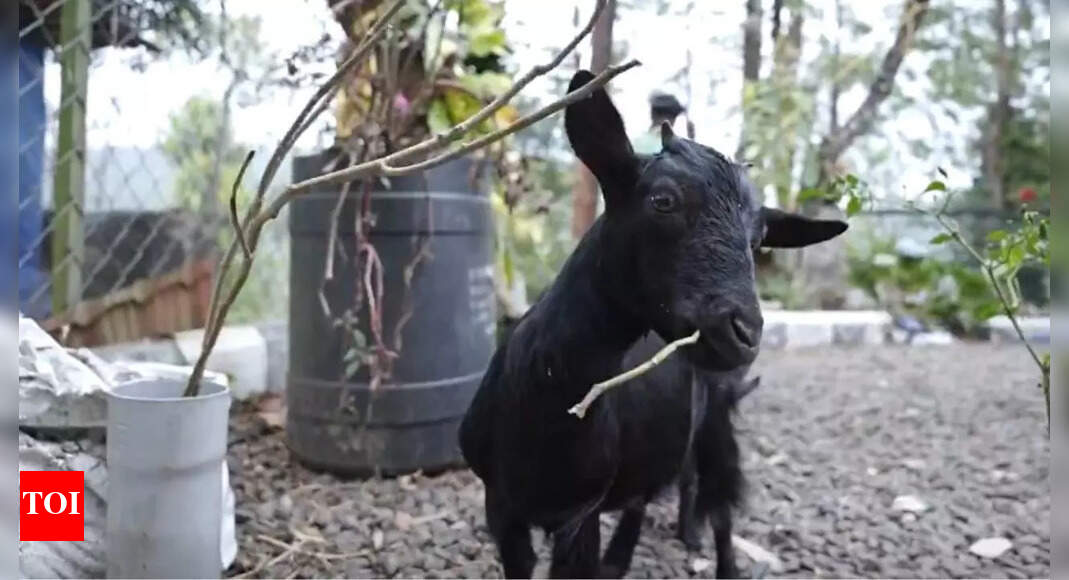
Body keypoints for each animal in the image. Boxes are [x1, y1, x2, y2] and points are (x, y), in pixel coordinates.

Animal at [455, 70, 846, 576]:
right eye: (663, 201)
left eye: (760, 238)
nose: (744, 333)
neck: (545, 402)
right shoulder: (502, 509)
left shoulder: (578, 516)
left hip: (717, 420)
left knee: (718, 504)